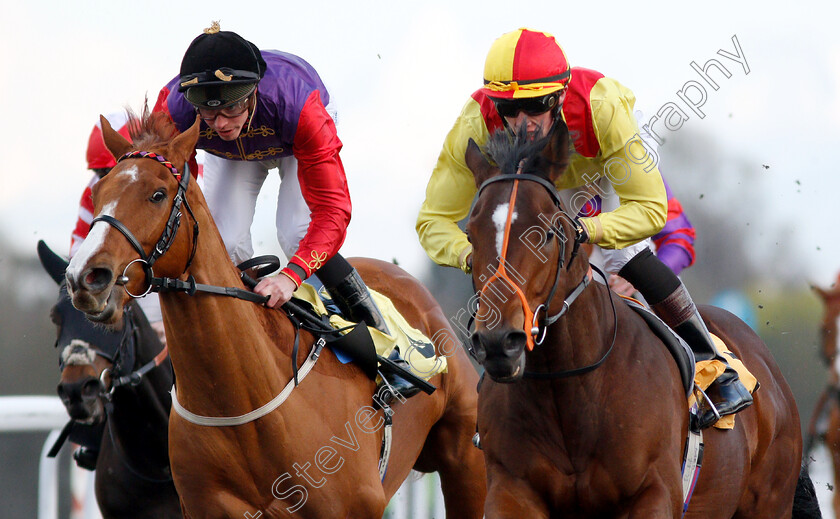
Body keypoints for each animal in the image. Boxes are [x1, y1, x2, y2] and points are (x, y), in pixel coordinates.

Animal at [460, 126, 820, 519]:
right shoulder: (511, 488)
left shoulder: (653, 492)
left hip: (770, 500)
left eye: (548, 233)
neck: (570, 389)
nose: (498, 341)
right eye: (471, 235)